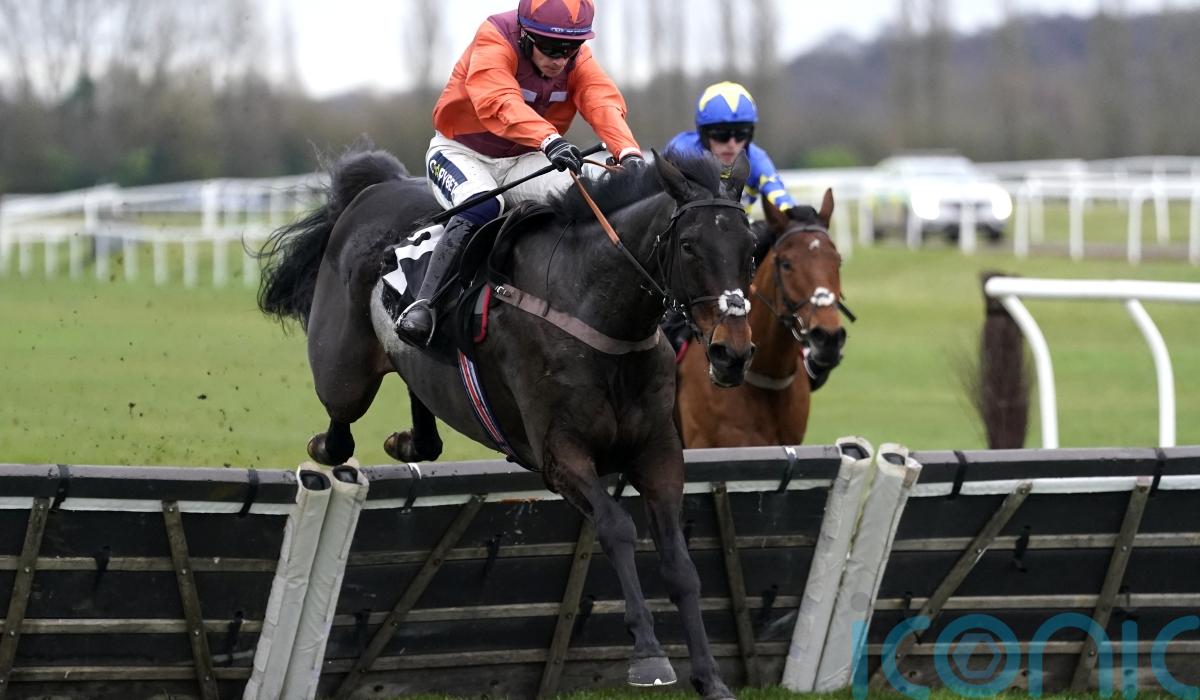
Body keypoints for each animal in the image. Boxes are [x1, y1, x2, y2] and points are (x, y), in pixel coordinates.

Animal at [256, 147, 757, 699]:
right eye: (689, 246)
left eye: (751, 247)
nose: (732, 353)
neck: (594, 307)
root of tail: (373, 189)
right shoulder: (560, 455)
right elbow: (617, 528)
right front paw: (649, 655)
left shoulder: (658, 453)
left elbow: (681, 566)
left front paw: (710, 677)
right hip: (343, 371)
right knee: (340, 426)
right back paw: (327, 446)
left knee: (419, 411)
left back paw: (408, 440)